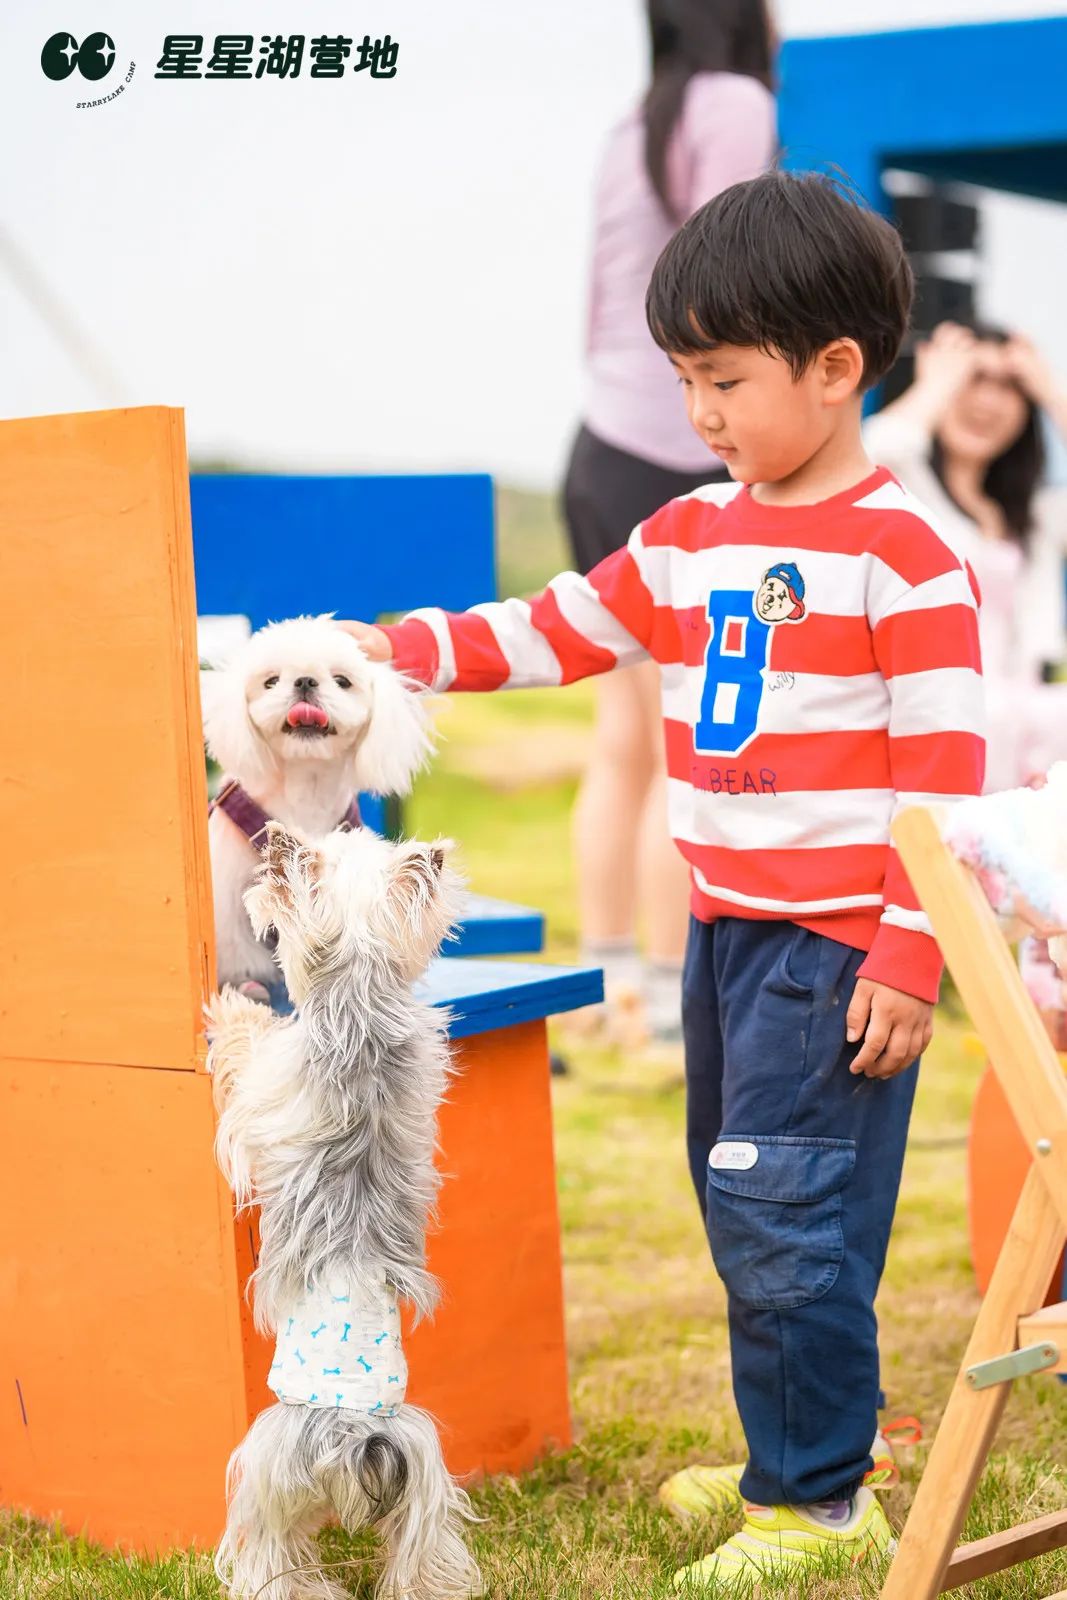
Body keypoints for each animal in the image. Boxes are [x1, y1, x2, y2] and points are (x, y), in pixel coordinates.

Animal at [200, 616, 434, 999]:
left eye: (342, 681)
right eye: (270, 681)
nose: (305, 682)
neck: (306, 791)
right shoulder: (228, 890)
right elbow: (237, 945)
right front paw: (248, 982)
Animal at [207, 821, 481, 1600]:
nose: (274, 839)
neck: (357, 989)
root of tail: (354, 1438)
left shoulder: (259, 1098)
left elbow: (244, 1059)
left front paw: (234, 1010)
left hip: (264, 1469)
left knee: (273, 1556)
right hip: (424, 1475)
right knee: (424, 1558)